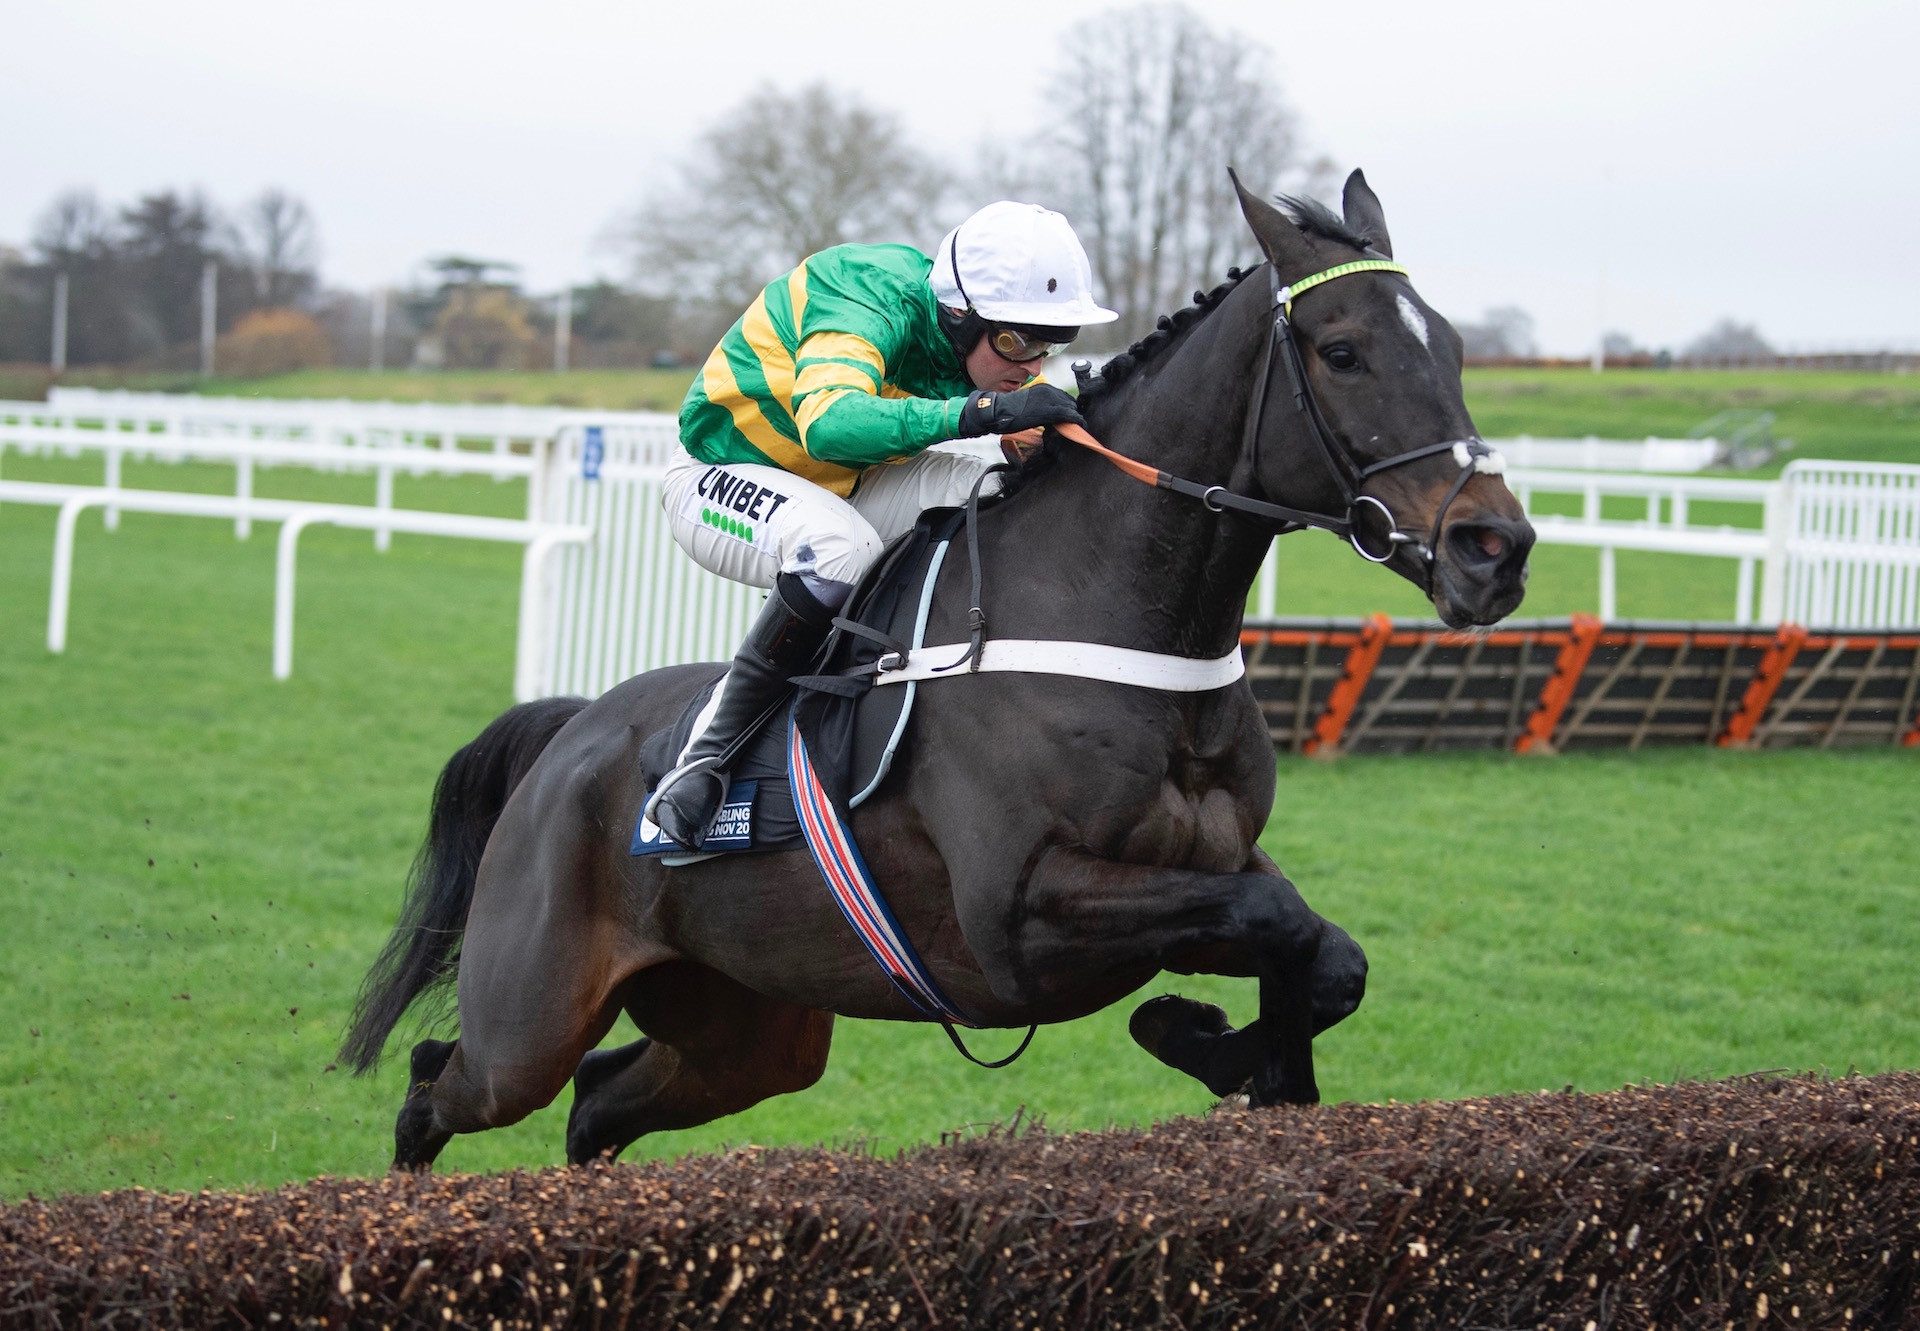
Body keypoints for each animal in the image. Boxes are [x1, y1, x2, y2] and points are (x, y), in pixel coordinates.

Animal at [341, 170, 1528, 1167]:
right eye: (1343, 350)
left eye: (1454, 348)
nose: (1496, 547)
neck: (1116, 616)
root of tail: (571, 733)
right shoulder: (1021, 917)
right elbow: (1272, 922)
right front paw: (1206, 1037)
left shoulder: (1215, 860)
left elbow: (1322, 951)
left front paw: (1235, 1051)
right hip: (530, 1013)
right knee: (437, 1084)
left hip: (748, 1024)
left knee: (597, 1102)